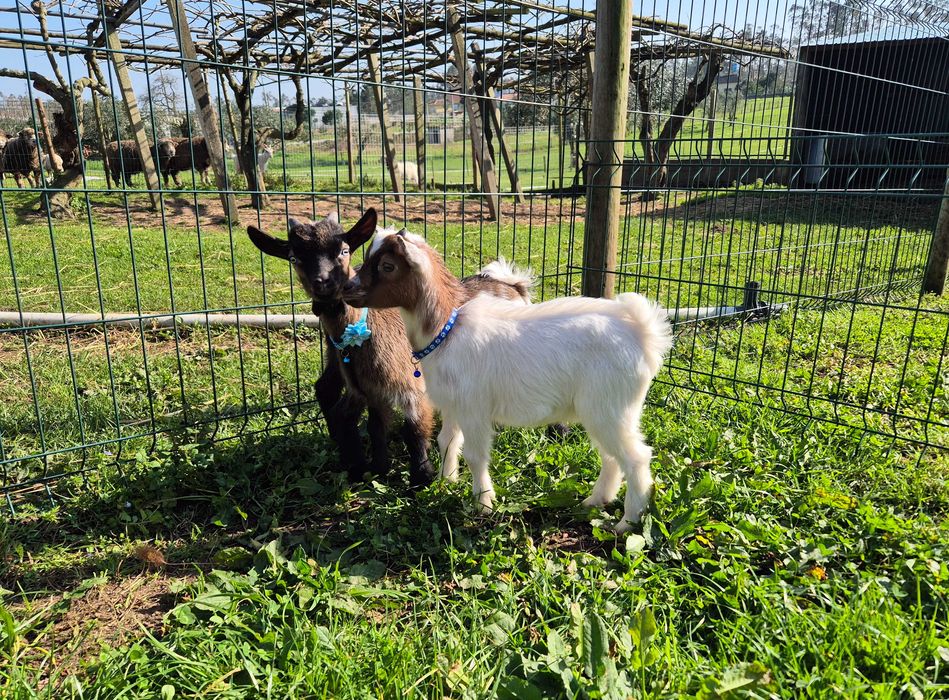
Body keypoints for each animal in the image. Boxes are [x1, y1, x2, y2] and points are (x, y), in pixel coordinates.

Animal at [247, 208, 531, 489]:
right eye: (294, 258)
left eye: (344, 250)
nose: (323, 282)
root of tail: (513, 285)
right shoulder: (370, 391)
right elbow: (375, 426)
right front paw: (377, 469)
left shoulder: (412, 387)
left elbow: (414, 430)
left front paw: (421, 479)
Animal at [342, 226, 673, 531]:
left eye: (387, 266)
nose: (346, 288)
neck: (446, 331)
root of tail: (643, 333)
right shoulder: (452, 405)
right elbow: (447, 441)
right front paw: (446, 483)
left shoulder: (474, 408)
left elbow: (475, 455)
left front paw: (483, 504)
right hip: (603, 412)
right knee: (611, 455)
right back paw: (594, 501)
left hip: (610, 407)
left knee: (636, 457)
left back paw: (627, 523)